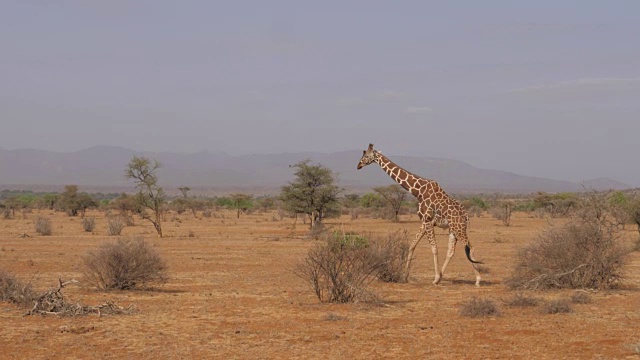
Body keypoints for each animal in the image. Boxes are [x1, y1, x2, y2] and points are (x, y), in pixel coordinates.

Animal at [356, 143, 480, 286]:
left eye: (366, 156)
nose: (358, 165)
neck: (418, 191)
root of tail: (467, 216)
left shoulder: (427, 220)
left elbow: (434, 248)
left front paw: (435, 277)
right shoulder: (424, 221)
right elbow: (412, 245)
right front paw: (405, 277)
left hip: (459, 228)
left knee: (470, 247)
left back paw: (477, 279)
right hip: (453, 229)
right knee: (452, 251)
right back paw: (443, 276)